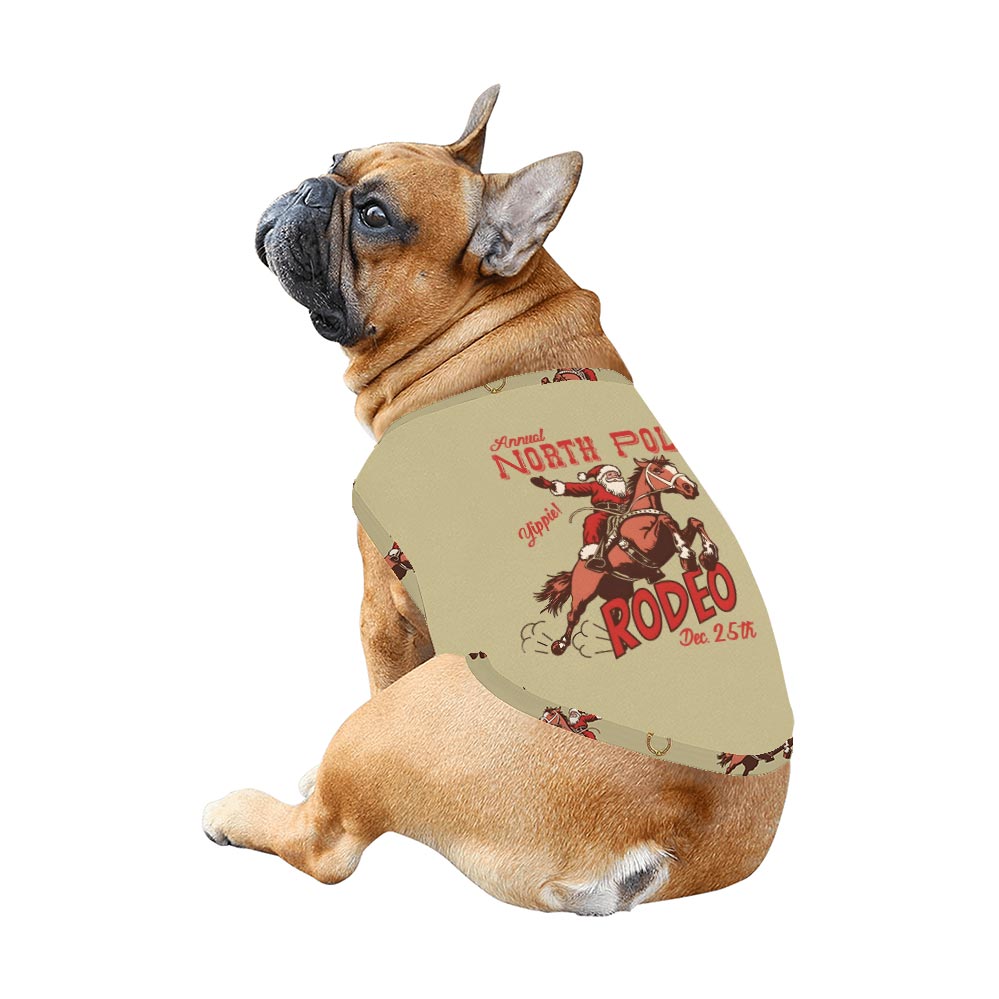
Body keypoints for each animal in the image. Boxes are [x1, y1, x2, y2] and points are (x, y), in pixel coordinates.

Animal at [535, 455, 720, 656]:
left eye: (674, 468)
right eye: (657, 470)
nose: (690, 487)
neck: (644, 514)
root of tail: (576, 569)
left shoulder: (667, 545)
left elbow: (694, 521)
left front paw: (709, 554)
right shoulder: (647, 543)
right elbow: (666, 520)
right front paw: (687, 555)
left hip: (619, 595)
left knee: (615, 617)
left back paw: (622, 644)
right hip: (583, 593)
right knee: (573, 615)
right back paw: (560, 644)